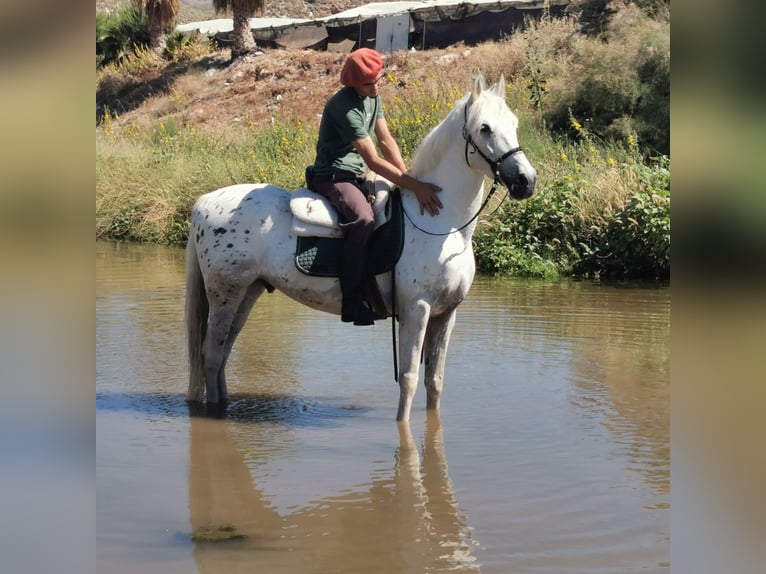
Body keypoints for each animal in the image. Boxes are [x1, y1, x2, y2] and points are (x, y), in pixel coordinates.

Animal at [185, 74, 537, 422]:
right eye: (485, 128)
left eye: (514, 123)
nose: (526, 180)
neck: (444, 225)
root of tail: (203, 201)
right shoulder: (416, 309)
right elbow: (409, 381)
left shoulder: (446, 313)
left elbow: (434, 382)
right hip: (225, 293)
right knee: (211, 355)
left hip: (248, 292)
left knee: (222, 353)